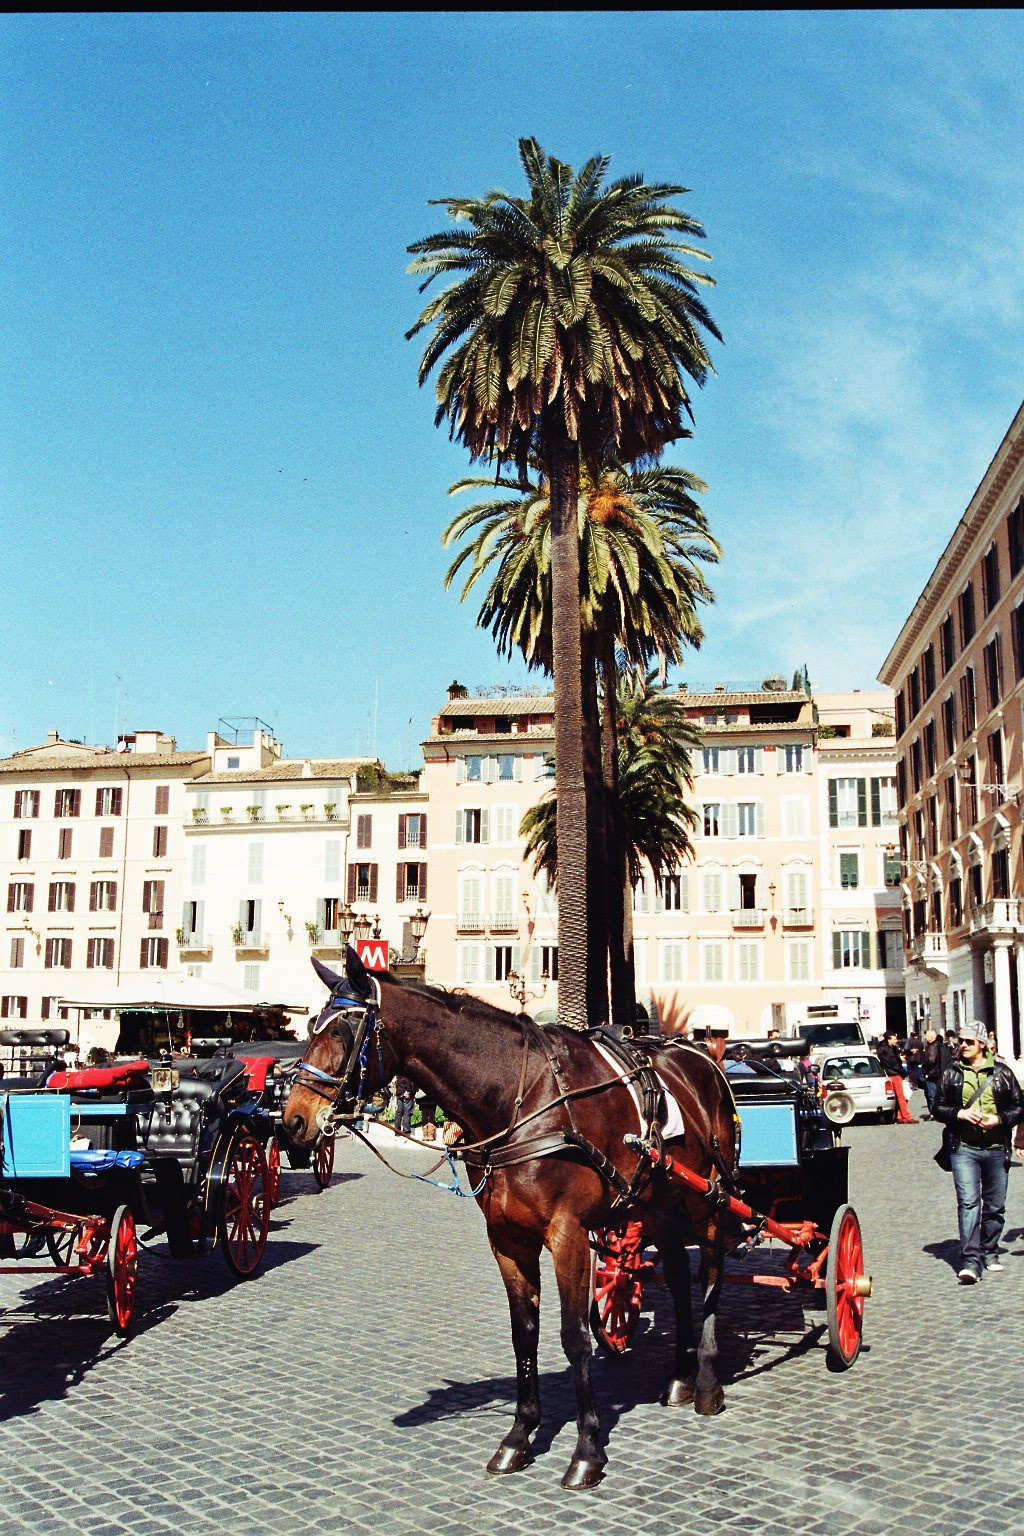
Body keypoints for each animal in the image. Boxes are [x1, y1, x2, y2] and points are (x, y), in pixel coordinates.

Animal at [284, 946, 739, 1486]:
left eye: (342, 1031)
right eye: (310, 1027)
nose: (292, 1119)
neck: (518, 1103)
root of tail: (701, 1056)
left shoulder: (568, 1234)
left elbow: (574, 1337)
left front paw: (587, 1449)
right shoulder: (506, 1239)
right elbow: (525, 1335)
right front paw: (519, 1437)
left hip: (706, 1196)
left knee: (710, 1268)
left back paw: (707, 1381)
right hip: (658, 1202)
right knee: (675, 1269)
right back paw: (679, 1378)